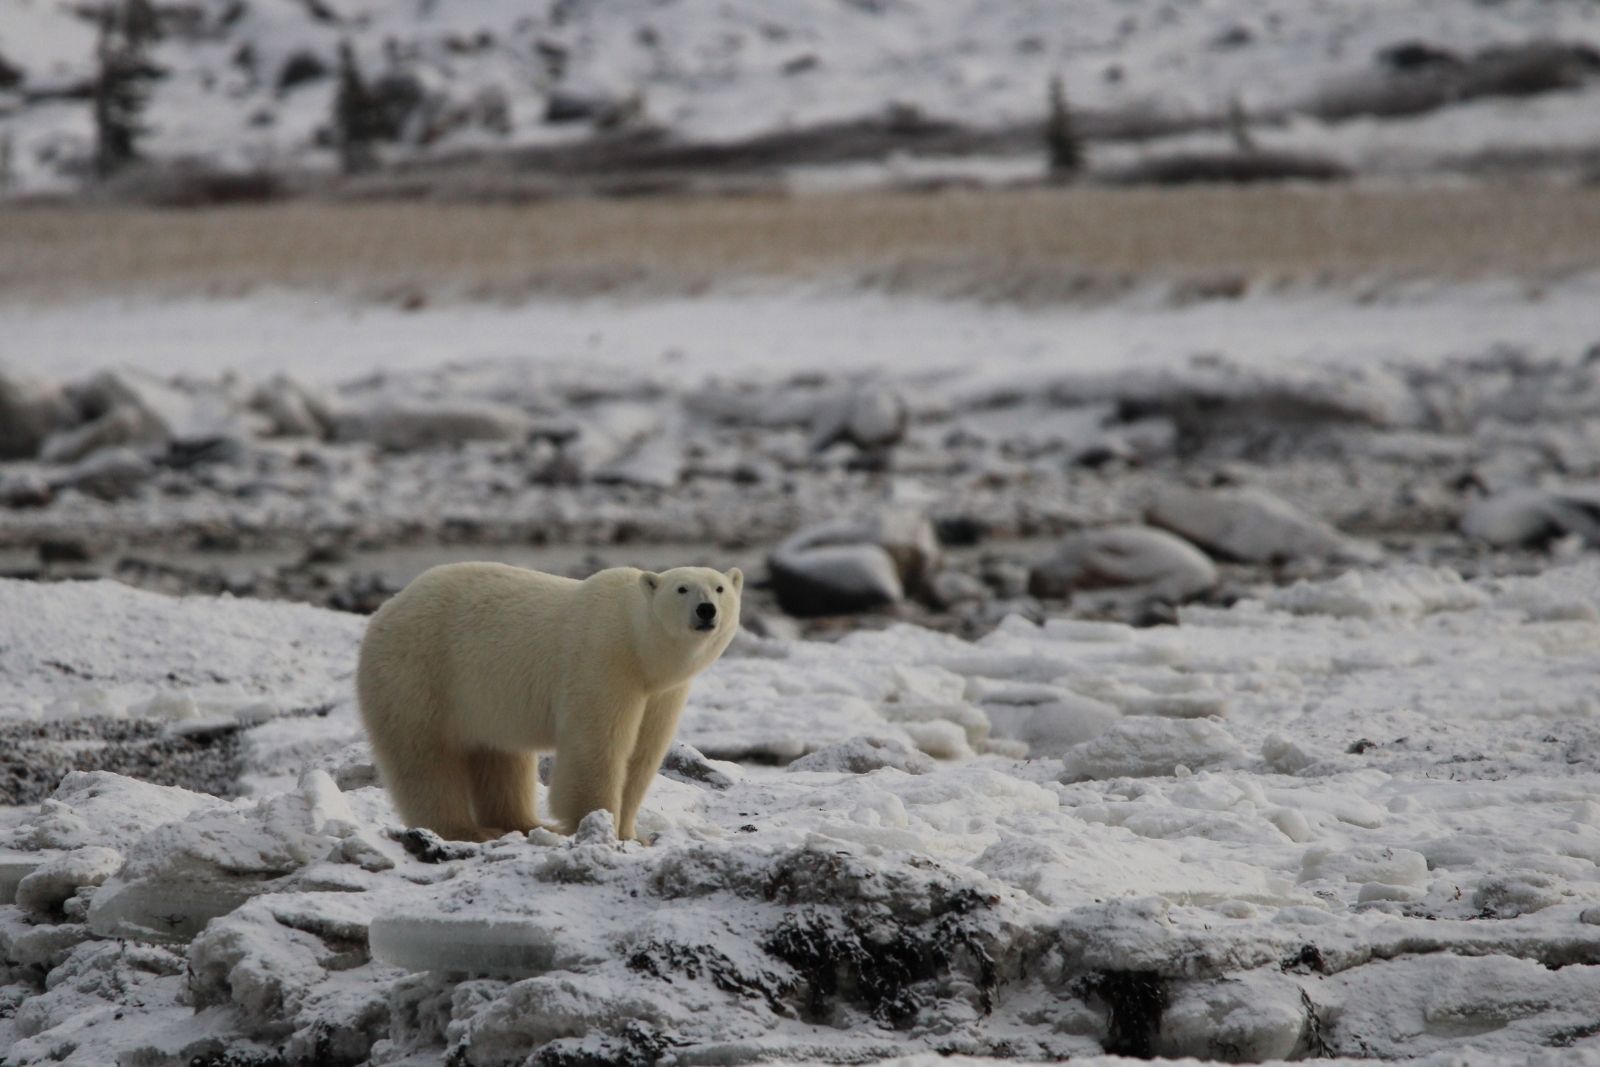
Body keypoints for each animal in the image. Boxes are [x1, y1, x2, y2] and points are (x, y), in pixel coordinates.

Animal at [356, 561, 741, 843]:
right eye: (682, 588)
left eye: (719, 587)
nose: (706, 610)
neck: (638, 645)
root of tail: (386, 608)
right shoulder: (603, 660)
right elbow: (598, 744)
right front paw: (598, 823)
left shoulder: (661, 692)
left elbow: (642, 755)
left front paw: (633, 835)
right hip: (420, 673)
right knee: (426, 758)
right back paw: (468, 831)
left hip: (484, 700)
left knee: (500, 758)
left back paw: (524, 823)